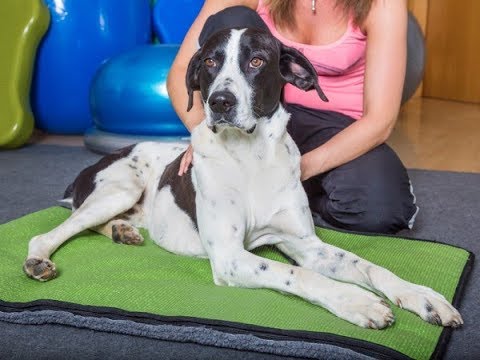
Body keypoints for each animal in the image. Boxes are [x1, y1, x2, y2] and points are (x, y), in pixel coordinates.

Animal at [24, 27, 464, 330]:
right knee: (53, 231)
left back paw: (122, 232)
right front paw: (356, 302)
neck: (252, 159)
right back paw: (39, 260)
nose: (220, 102)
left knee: (91, 224)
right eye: (210, 62)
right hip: (120, 188)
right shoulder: (231, 257)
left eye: (256, 61)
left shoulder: (306, 244)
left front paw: (420, 296)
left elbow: (370, 266)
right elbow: (298, 273)